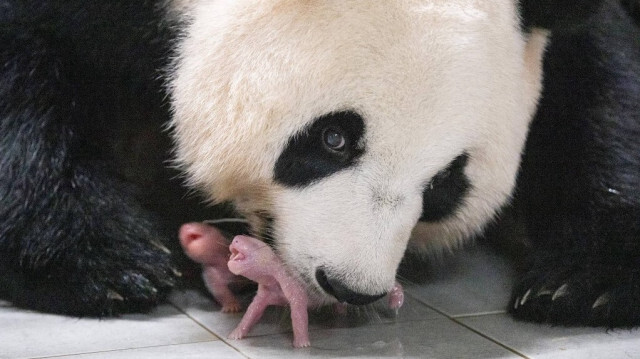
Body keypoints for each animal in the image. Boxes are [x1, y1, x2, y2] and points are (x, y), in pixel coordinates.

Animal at [1, 0, 640, 330]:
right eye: (334, 139)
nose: (350, 286)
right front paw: (106, 263)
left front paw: (582, 283)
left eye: (444, 183)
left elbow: (600, 88)